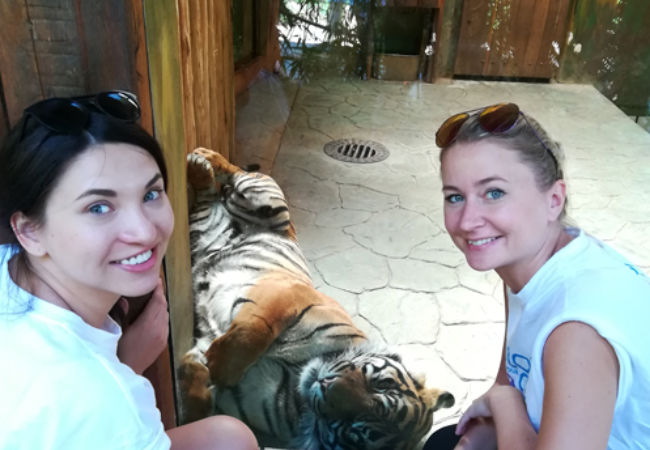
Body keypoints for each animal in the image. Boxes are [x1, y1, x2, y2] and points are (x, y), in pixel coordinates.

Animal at [175, 149, 454, 450]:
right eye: (382, 384)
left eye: (358, 430)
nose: (325, 386)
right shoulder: (289, 295)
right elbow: (252, 331)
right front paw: (218, 366)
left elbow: (197, 394)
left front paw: (198, 385)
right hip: (267, 202)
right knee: (239, 175)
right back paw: (203, 159)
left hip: (205, 225)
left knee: (205, 200)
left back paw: (200, 172)